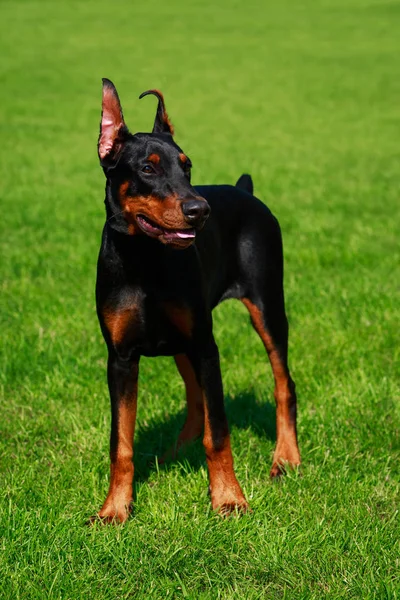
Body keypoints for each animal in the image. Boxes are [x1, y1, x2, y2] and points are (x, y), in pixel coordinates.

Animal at [94, 78, 300, 520]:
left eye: (186, 166)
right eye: (148, 168)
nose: (199, 209)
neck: (146, 262)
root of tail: (244, 191)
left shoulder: (207, 347)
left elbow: (219, 433)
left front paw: (228, 497)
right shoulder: (119, 357)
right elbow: (121, 443)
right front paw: (114, 509)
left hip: (266, 307)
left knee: (283, 383)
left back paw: (286, 457)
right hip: (180, 342)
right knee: (195, 398)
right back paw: (176, 452)